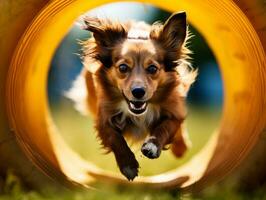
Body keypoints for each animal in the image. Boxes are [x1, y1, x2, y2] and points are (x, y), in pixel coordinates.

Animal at [66, 12, 197, 181]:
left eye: (152, 68)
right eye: (123, 67)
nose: (138, 91)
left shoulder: (174, 110)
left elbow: (166, 127)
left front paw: (153, 146)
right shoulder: (103, 118)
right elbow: (115, 138)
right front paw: (128, 165)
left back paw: (181, 147)